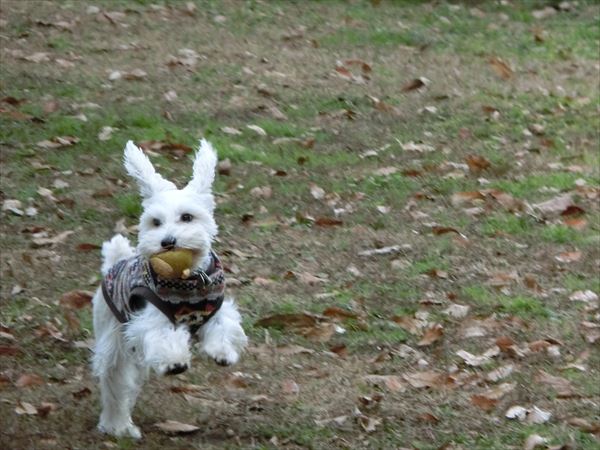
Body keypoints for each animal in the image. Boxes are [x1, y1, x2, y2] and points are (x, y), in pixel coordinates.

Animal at [91, 140, 247, 439]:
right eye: (155, 222)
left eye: (187, 217)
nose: (167, 241)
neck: (187, 280)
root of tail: (114, 263)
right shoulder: (150, 318)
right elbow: (163, 336)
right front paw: (175, 362)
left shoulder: (216, 307)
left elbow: (222, 327)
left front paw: (222, 352)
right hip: (113, 336)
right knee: (115, 382)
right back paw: (118, 425)